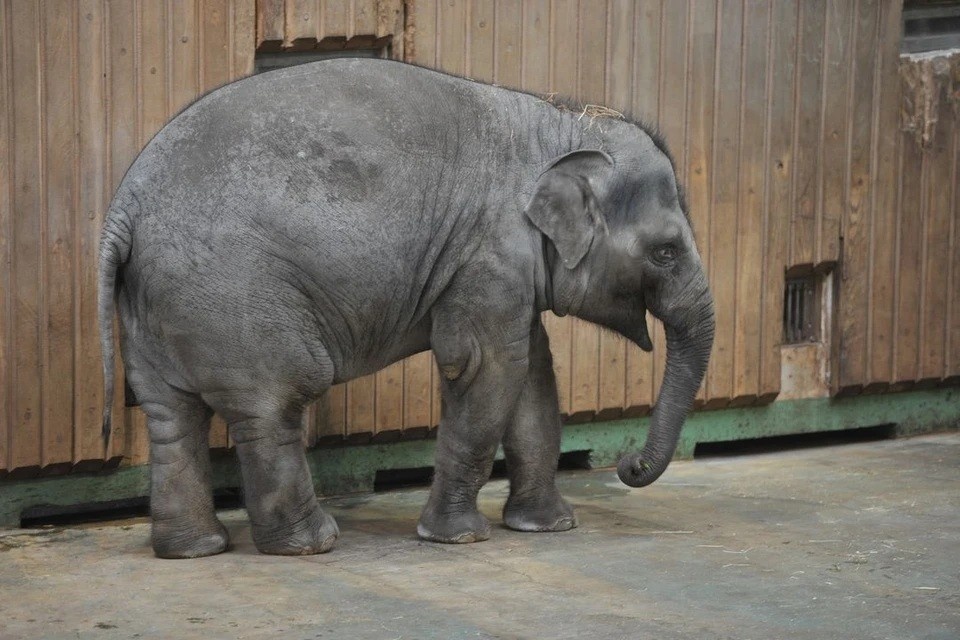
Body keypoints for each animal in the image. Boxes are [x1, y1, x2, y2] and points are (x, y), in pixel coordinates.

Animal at [98, 58, 715, 558]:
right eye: (665, 252)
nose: (628, 464)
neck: (559, 121)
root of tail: (123, 210)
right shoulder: (487, 253)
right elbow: (486, 369)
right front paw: (458, 538)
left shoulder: (504, 269)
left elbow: (533, 375)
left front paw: (548, 527)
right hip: (237, 295)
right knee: (276, 403)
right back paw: (311, 544)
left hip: (157, 306)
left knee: (170, 416)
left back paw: (193, 549)